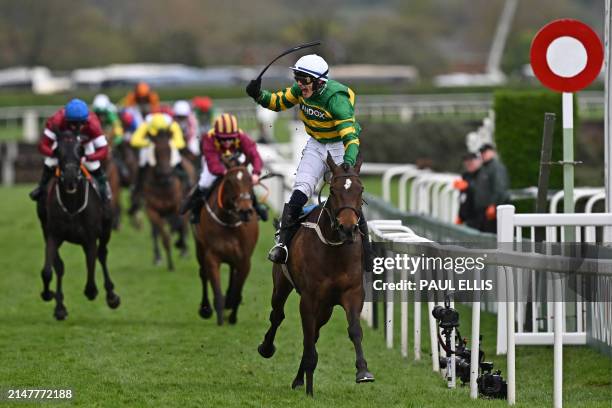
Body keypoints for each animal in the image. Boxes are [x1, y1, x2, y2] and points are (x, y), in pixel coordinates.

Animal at [37, 130, 121, 318]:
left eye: (81, 150)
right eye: (57, 151)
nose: (70, 177)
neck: (72, 205)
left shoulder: (90, 238)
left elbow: (91, 270)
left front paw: (95, 291)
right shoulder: (52, 235)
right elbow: (49, 270)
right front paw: (51, 297)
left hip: (106, 230)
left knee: (102, 255)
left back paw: (111, 296)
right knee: (60, 267)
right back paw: (59, 304)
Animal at [142, 131, 192, 270]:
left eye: (169, 150)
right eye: (156, 151)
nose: (165, 174)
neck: (163, 186)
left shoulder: (177, 207)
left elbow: (178, 225)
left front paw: (180, 244)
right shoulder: (152, 210)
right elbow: (163, 236)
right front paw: (170, 264)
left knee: (182, 226)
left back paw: (183, 248)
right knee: (155, 233)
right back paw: (158, 257)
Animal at [192, 165, 256, 326]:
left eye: (250, 181)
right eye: (229, 182)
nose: (245, 210)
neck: (229, 222)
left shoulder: (244, 260)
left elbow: (237, 290)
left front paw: (232, 315)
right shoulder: (212, 257)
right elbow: (216, 288)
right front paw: (219, 316)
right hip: (199, 247)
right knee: (203, 274)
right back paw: (206, 308)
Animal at [256, 153, 372, 396]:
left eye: (361, 189)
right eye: (334, 190)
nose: (348, 228)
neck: (335, 249)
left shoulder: (353, 293)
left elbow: (354, 330)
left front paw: (363, 371)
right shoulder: (309, 298)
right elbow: (307, 337)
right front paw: (309, 386)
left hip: (326, 307)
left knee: (314, 333)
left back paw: (300, 378)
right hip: (281, 284)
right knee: (278, 315)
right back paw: (267, 348)